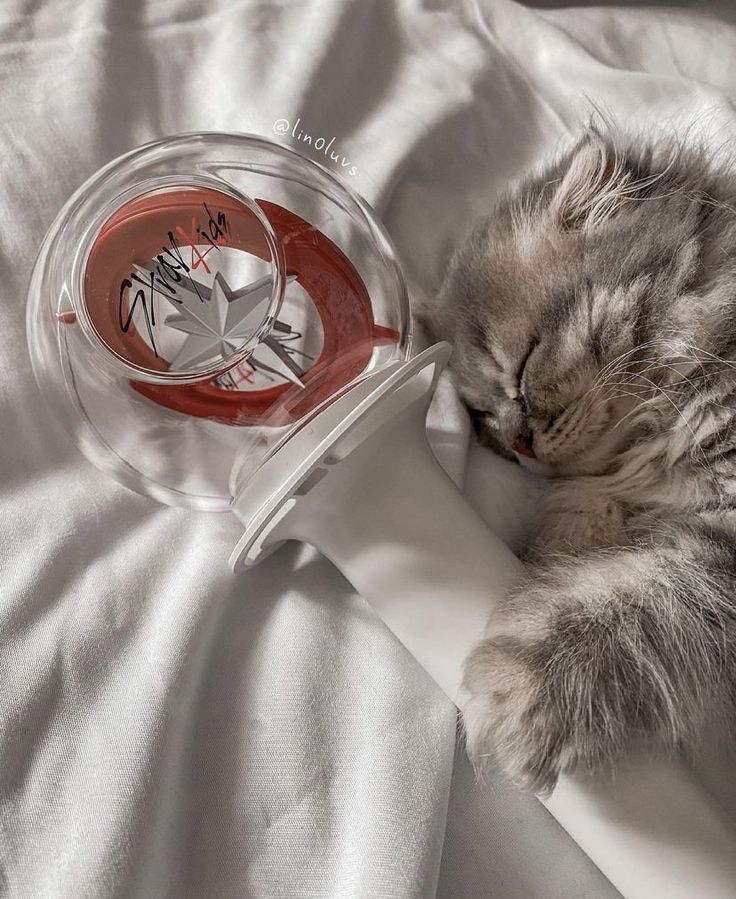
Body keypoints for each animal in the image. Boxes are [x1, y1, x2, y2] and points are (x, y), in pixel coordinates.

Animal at [422, 126, 736, 796]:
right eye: (480, 414)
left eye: (522, 366)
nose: (519, 444)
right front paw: (543, 568)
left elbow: (644, 604)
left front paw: (530, 687)